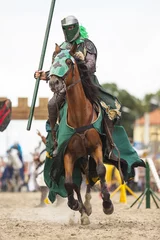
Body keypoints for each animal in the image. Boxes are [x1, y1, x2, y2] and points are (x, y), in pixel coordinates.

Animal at [49, 44, 113, 225]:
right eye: (53, 60)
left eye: (69, 62)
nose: (54, 82)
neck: (79, 117)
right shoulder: (68, 154)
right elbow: (69, 183)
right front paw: (75, 205)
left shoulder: (96, 148)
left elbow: (100, 170)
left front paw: (107, 204)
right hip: (79, 159)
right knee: (78, 183)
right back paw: (83, 212)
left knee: (89, 179)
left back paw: (88, 207)